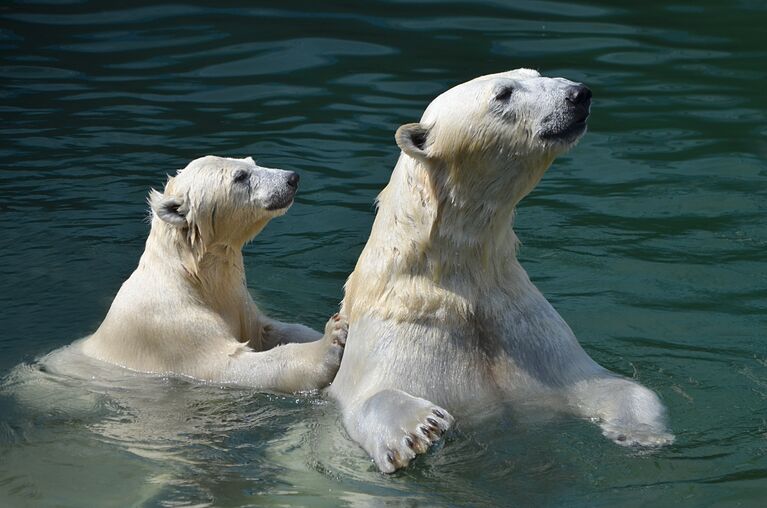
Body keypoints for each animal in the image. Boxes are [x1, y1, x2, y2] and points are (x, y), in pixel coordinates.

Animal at [73, 156, 346, 392]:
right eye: (240, 176)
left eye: (251, 161)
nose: (292, 178)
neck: (193, 276)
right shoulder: (173, 326)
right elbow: (230, 364)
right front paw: (330, 340)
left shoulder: (238, 300)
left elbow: (269, 330)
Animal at [328, 67, 672, 472]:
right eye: (503, 93)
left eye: (536, 74)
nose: (578, 94)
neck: (456, 274)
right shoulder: (403, 333)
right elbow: (372, 396)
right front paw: (419, 428)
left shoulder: (525, 333)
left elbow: (606, 384)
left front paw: (641, 433)